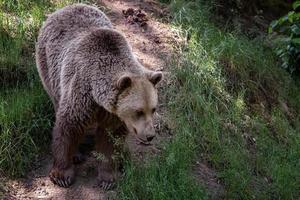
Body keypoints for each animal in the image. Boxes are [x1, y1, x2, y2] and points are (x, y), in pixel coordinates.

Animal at [35, 4, 162, 189]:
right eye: (138, 111)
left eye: (153, 109)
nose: (150, 135)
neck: (97, 95)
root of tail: (66, 7)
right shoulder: (81, 92)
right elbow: (68, 126)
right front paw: (62, 175)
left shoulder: (114, 112)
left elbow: (110, 140)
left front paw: (108, 177)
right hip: (49, 68)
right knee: (56, 100)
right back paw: (77, 153)